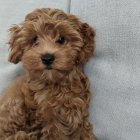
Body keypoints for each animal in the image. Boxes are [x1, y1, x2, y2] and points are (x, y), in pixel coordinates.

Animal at [0, 8, 96, 139]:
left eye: (61, 39)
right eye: (34, 39)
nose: (47, 58)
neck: (56, 84)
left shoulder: (78, 106)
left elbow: (81, 130)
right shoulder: (48, 115)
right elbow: (55, 133)